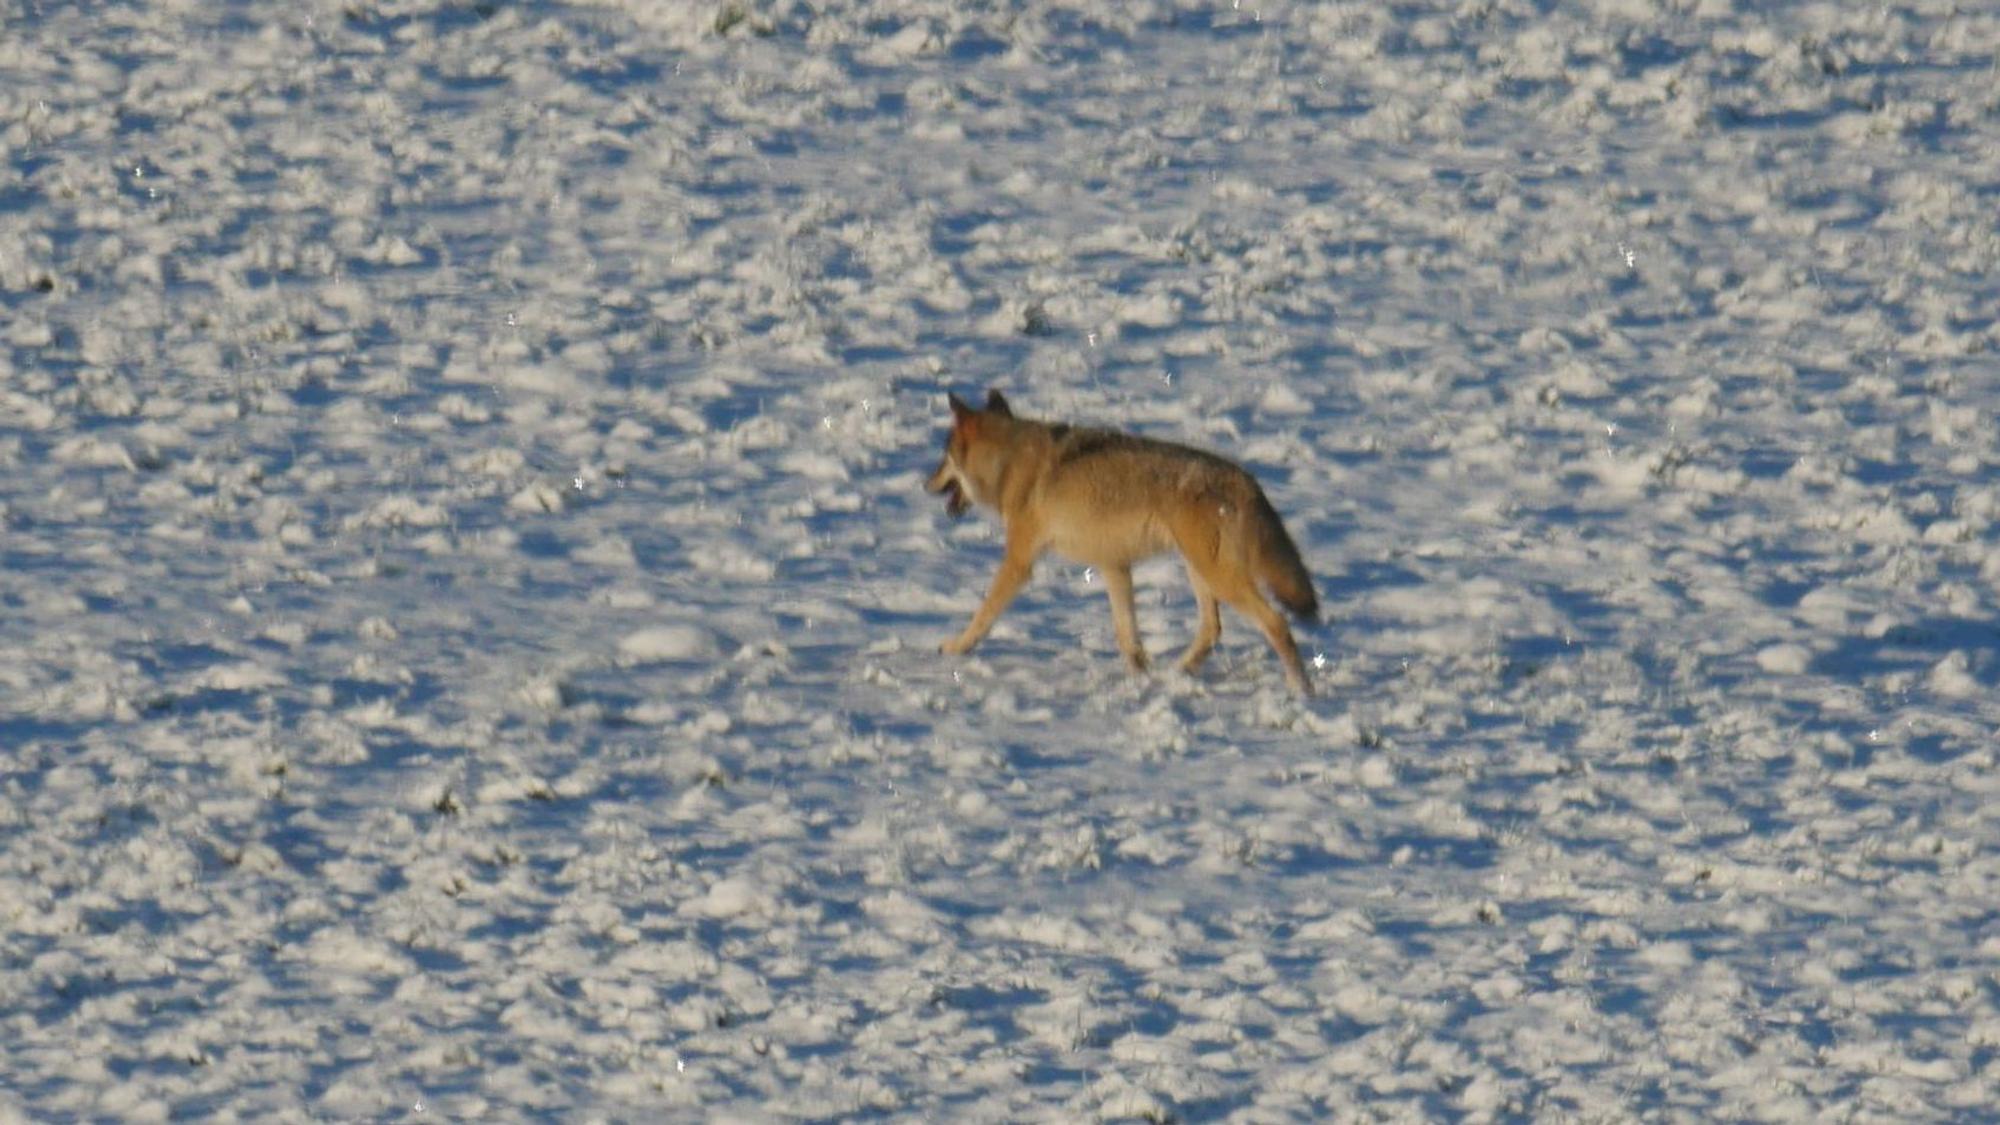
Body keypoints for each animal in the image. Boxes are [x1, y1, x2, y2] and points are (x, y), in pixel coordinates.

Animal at [926, 389, 1319, 695]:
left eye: (943, 457)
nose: (924, 483)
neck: (1008, 463)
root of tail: (1248, 481)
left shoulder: (1020, 562)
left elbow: (984, 613)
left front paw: (957, 647)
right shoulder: (1113, 565)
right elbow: (1127, 636)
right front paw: (1141, 679)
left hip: (1219, 577)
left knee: (1276, 623)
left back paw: (1301, 691)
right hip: (1200, 572)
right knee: (1213, 629)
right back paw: (1179, 673)